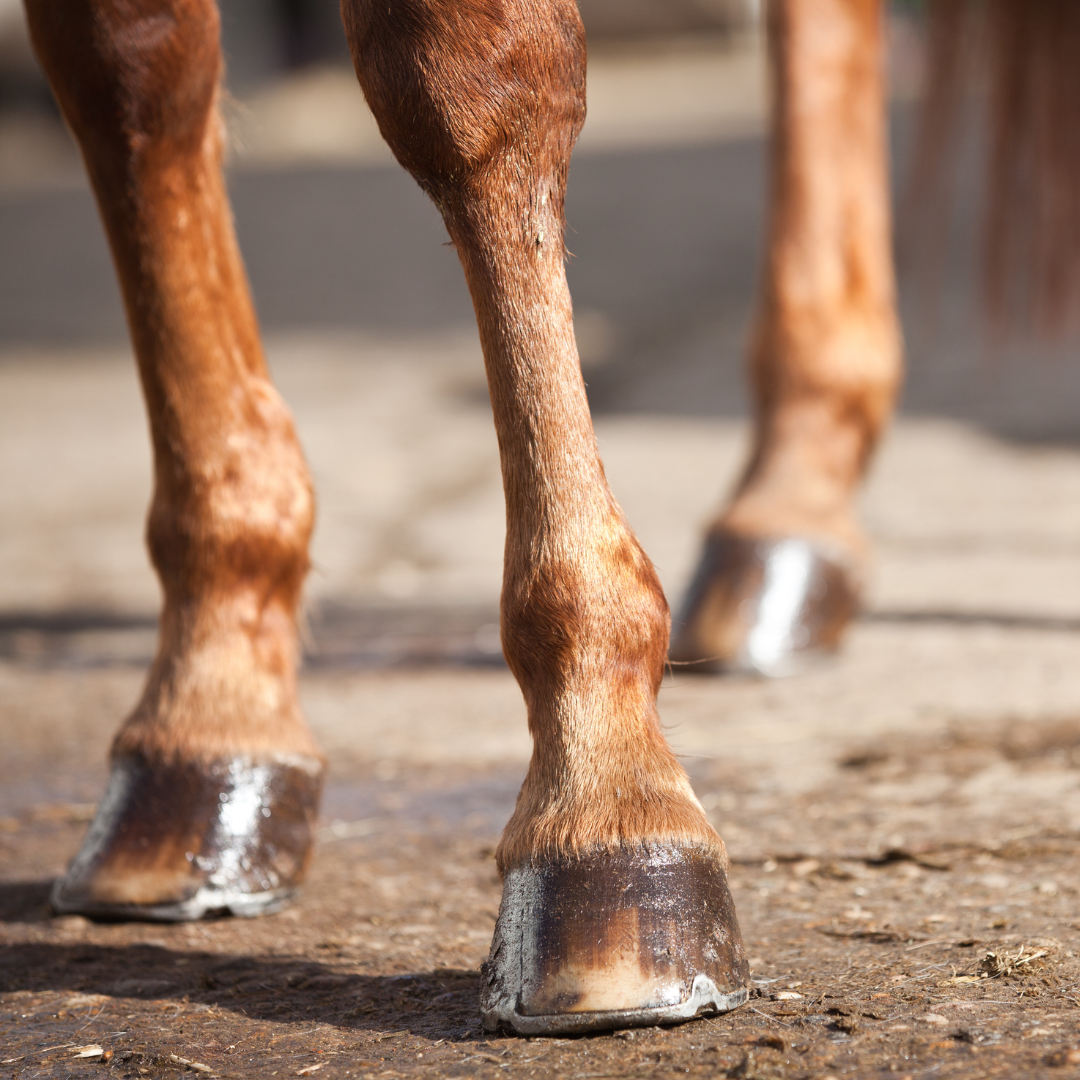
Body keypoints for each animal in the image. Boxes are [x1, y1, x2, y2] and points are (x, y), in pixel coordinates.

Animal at [21, 0, 1076, 1037]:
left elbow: (459, 75)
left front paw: (604, 796)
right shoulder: (120, 66)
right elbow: (124, 70)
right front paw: (209, 710)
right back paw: (789, 510)